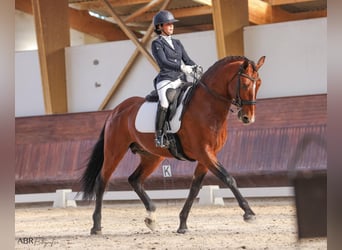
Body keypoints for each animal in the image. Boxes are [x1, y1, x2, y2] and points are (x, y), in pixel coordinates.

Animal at [81, 54, 266, 234]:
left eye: (259, 83)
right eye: (245, 84)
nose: (248, 118)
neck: (207, 106)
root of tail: (116, 110)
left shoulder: (207, 156)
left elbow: (194, 188)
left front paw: (182, 224)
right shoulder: (204, 152)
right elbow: (228, 178)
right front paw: (249, 213)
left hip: (152, 156)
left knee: (134, 179)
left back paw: (151, 217)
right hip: (115, 151)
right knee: (102, 181)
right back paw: (96, 226)